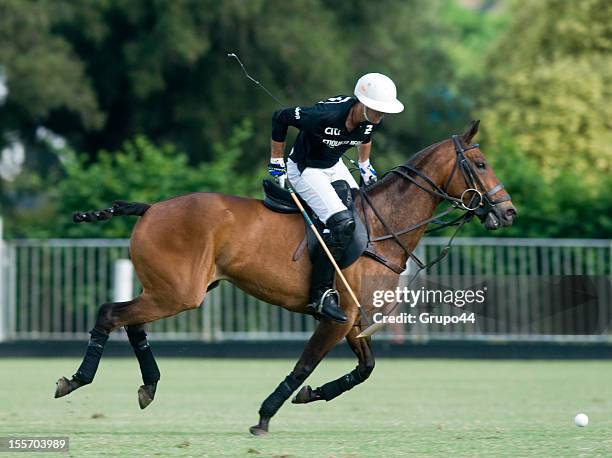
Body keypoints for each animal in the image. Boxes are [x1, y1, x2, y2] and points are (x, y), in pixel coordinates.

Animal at [53, 120, 516, 434]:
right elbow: (304, 364)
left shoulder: (355, 320)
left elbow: (365, 368)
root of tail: (150, 208)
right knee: (111, 312)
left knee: (131, 321)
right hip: (180, 292)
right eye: (480, 163)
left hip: (173, 289)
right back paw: (75, 380)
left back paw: (148, 386)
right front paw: (265, 415)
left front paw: (313, 395)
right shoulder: (337, 318)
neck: (383, 226)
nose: (508, 212)